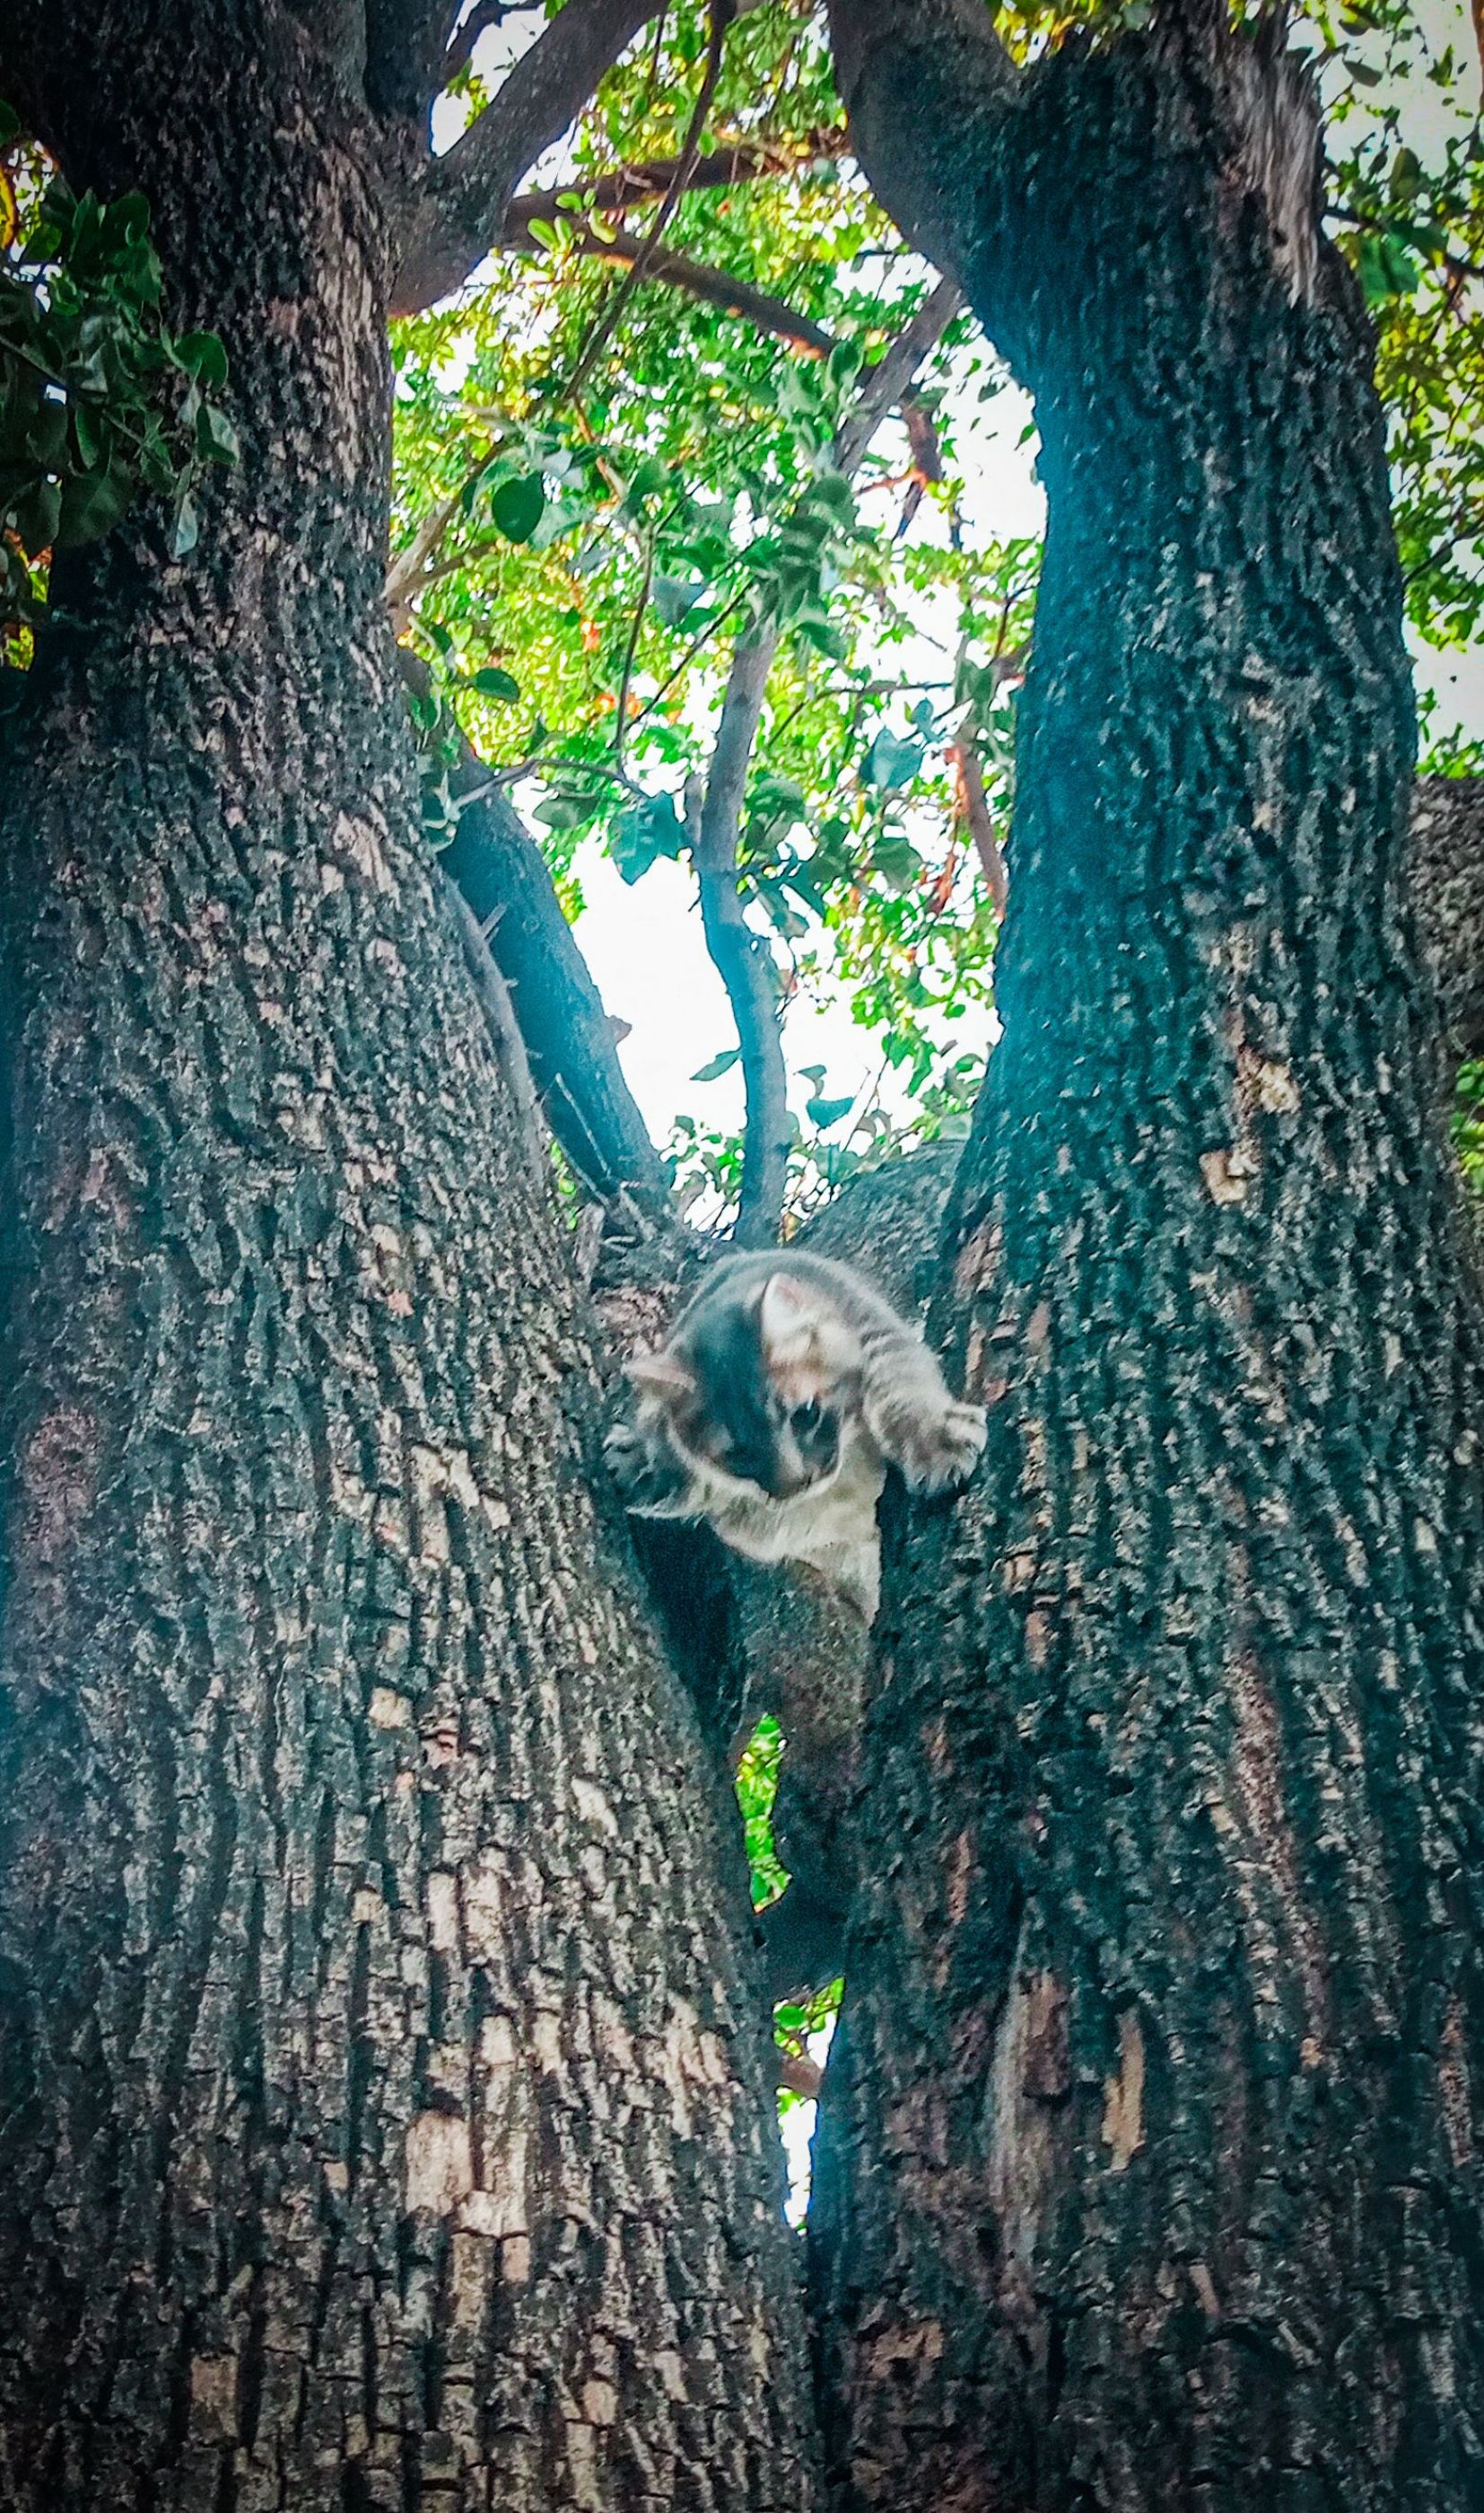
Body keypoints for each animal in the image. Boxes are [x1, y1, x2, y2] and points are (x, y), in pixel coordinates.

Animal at [602, 1246, 989, 1618]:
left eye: (805, 1415)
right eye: (738, 1453)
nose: (799, 1482)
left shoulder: (877, 1335)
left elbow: (903, 1390)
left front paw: (939, 1446)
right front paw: (640, 1457)